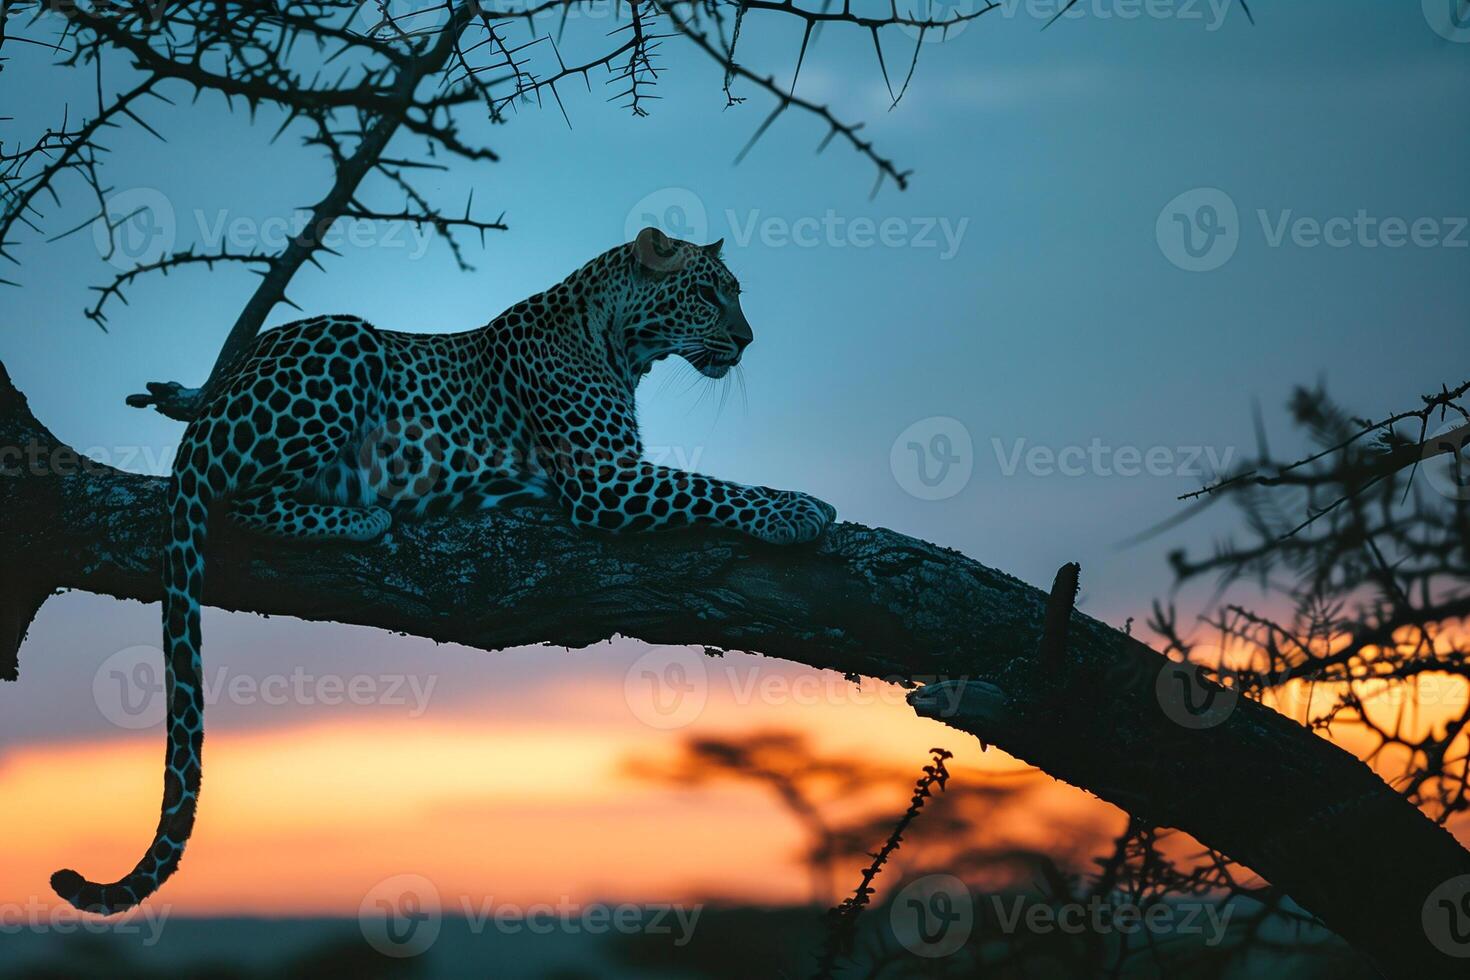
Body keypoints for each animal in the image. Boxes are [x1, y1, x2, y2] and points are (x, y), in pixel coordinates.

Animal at [51, 226, 840, 916]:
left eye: (734, 295)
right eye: (708, 295)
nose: (746, 340)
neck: (620, 342)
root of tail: (208, 406)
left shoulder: (612, 474)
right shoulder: (602, 480)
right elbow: (713, 486)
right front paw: (800, 508)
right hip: (347, 342)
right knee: (239, 503)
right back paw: (364, 520)